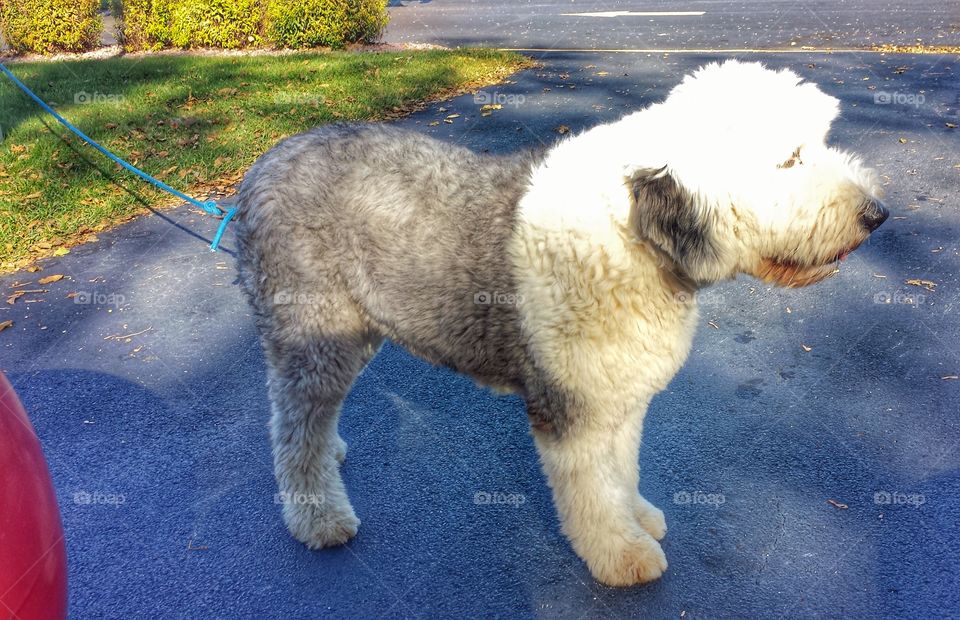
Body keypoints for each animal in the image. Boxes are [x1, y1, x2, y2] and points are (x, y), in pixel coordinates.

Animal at [231, 61, 884, 588]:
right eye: (791, 158)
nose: (877, 215)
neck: (633, 231)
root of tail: (262, 164)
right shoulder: (573, 404)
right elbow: (592, 490)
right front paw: (622, 554)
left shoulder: (618, 391)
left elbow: (621, 467)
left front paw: (637, 516)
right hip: (314, 332)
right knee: (294, 427)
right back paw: (318, 516)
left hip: (353, 332)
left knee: (309, 417)